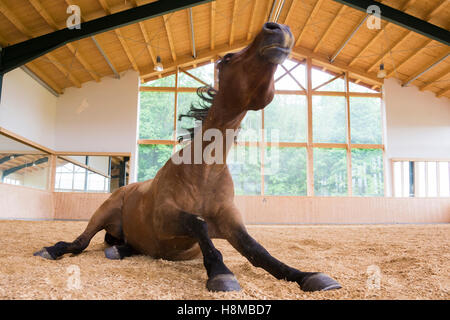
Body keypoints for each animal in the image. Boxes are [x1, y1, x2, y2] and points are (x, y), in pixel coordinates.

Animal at [35, 21, 342, 292]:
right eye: (227, 58)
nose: (278, 29)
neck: (205, 170)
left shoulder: (231, 224)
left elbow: (258, 251)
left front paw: (308, 276)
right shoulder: (165, 218)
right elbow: (199, 223)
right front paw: (220, 274)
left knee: (127, 245)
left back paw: (119, 251)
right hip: (102, 212)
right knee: (79, 243)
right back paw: (51, 250)